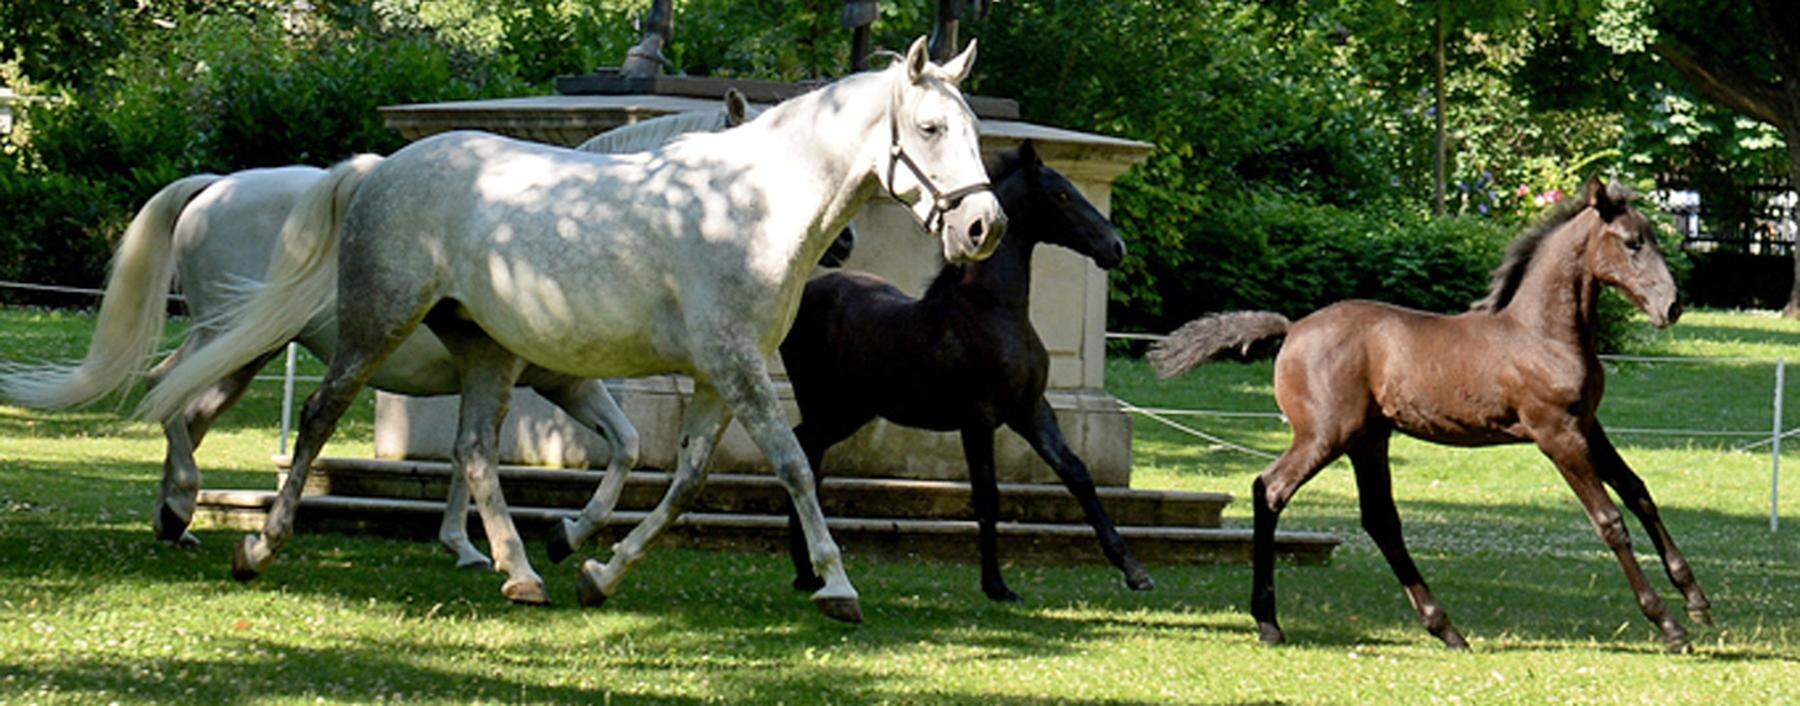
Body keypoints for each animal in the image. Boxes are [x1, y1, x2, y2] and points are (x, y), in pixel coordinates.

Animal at [1, 92, 759, 572]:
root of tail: (216, 184)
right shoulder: (514, 380)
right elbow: (475, 455)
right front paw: (488, 546)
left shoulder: (555, 383)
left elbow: (615, 446)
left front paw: (515, 541)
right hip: (230, 335)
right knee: (169, 392)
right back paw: (183, 502)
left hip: (249, 351)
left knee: (186, 407)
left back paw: (175, 522)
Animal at [144, 40, 1000, 623]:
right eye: (929, 127)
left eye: (970, 129)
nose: (984, 226)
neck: (748, 205)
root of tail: (379, 169)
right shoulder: (735, 368)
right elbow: (791, 467)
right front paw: (837, 584)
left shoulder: (718, 377)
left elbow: (683, 479)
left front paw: (597, 568)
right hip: (367, 326)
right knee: (309, 415)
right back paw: (253, 545)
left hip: (481, 350)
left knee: (472, 452)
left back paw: (519, 572)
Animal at [777, 142, 1152, 601]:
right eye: (1061, 195)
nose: (1115, 247)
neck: (993, 311)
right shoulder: (979, 419)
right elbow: (987, 495)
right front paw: (996, 585)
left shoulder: (1031, 410)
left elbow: (1077, 474)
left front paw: (1134, 571)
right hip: (827, 405)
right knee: (802, 455)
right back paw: (808, 571)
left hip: (849, 412)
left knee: (807, 454)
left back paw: (808, 573)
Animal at [1152, 179, 1713, 651]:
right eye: (1632, 243)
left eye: (1653, 238)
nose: (1672, 306)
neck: (1541, 332)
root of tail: (1291, 329)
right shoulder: (1556, 433)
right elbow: (1610, 520)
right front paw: (1669, 625)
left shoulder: (1588, 425)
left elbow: (1639, 493)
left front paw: (1698, 602)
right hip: (1324, 435)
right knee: (1270, 490)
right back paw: (1269, 623)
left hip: (1368, 439)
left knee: (1380, 518)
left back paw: (1446, 629)